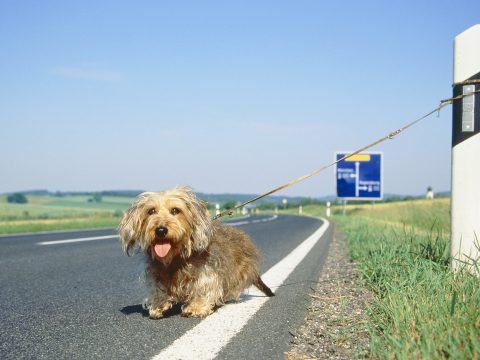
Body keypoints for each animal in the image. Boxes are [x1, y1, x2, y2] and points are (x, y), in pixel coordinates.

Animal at [118, 186, 274, 318]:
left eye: (175, 210)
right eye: (151, 211)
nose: (160, 230)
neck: (176, 257)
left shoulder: (207, 271)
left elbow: (203, 287)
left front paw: (196, 307)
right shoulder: (156, 272)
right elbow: (158, 288)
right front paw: (158, 305)